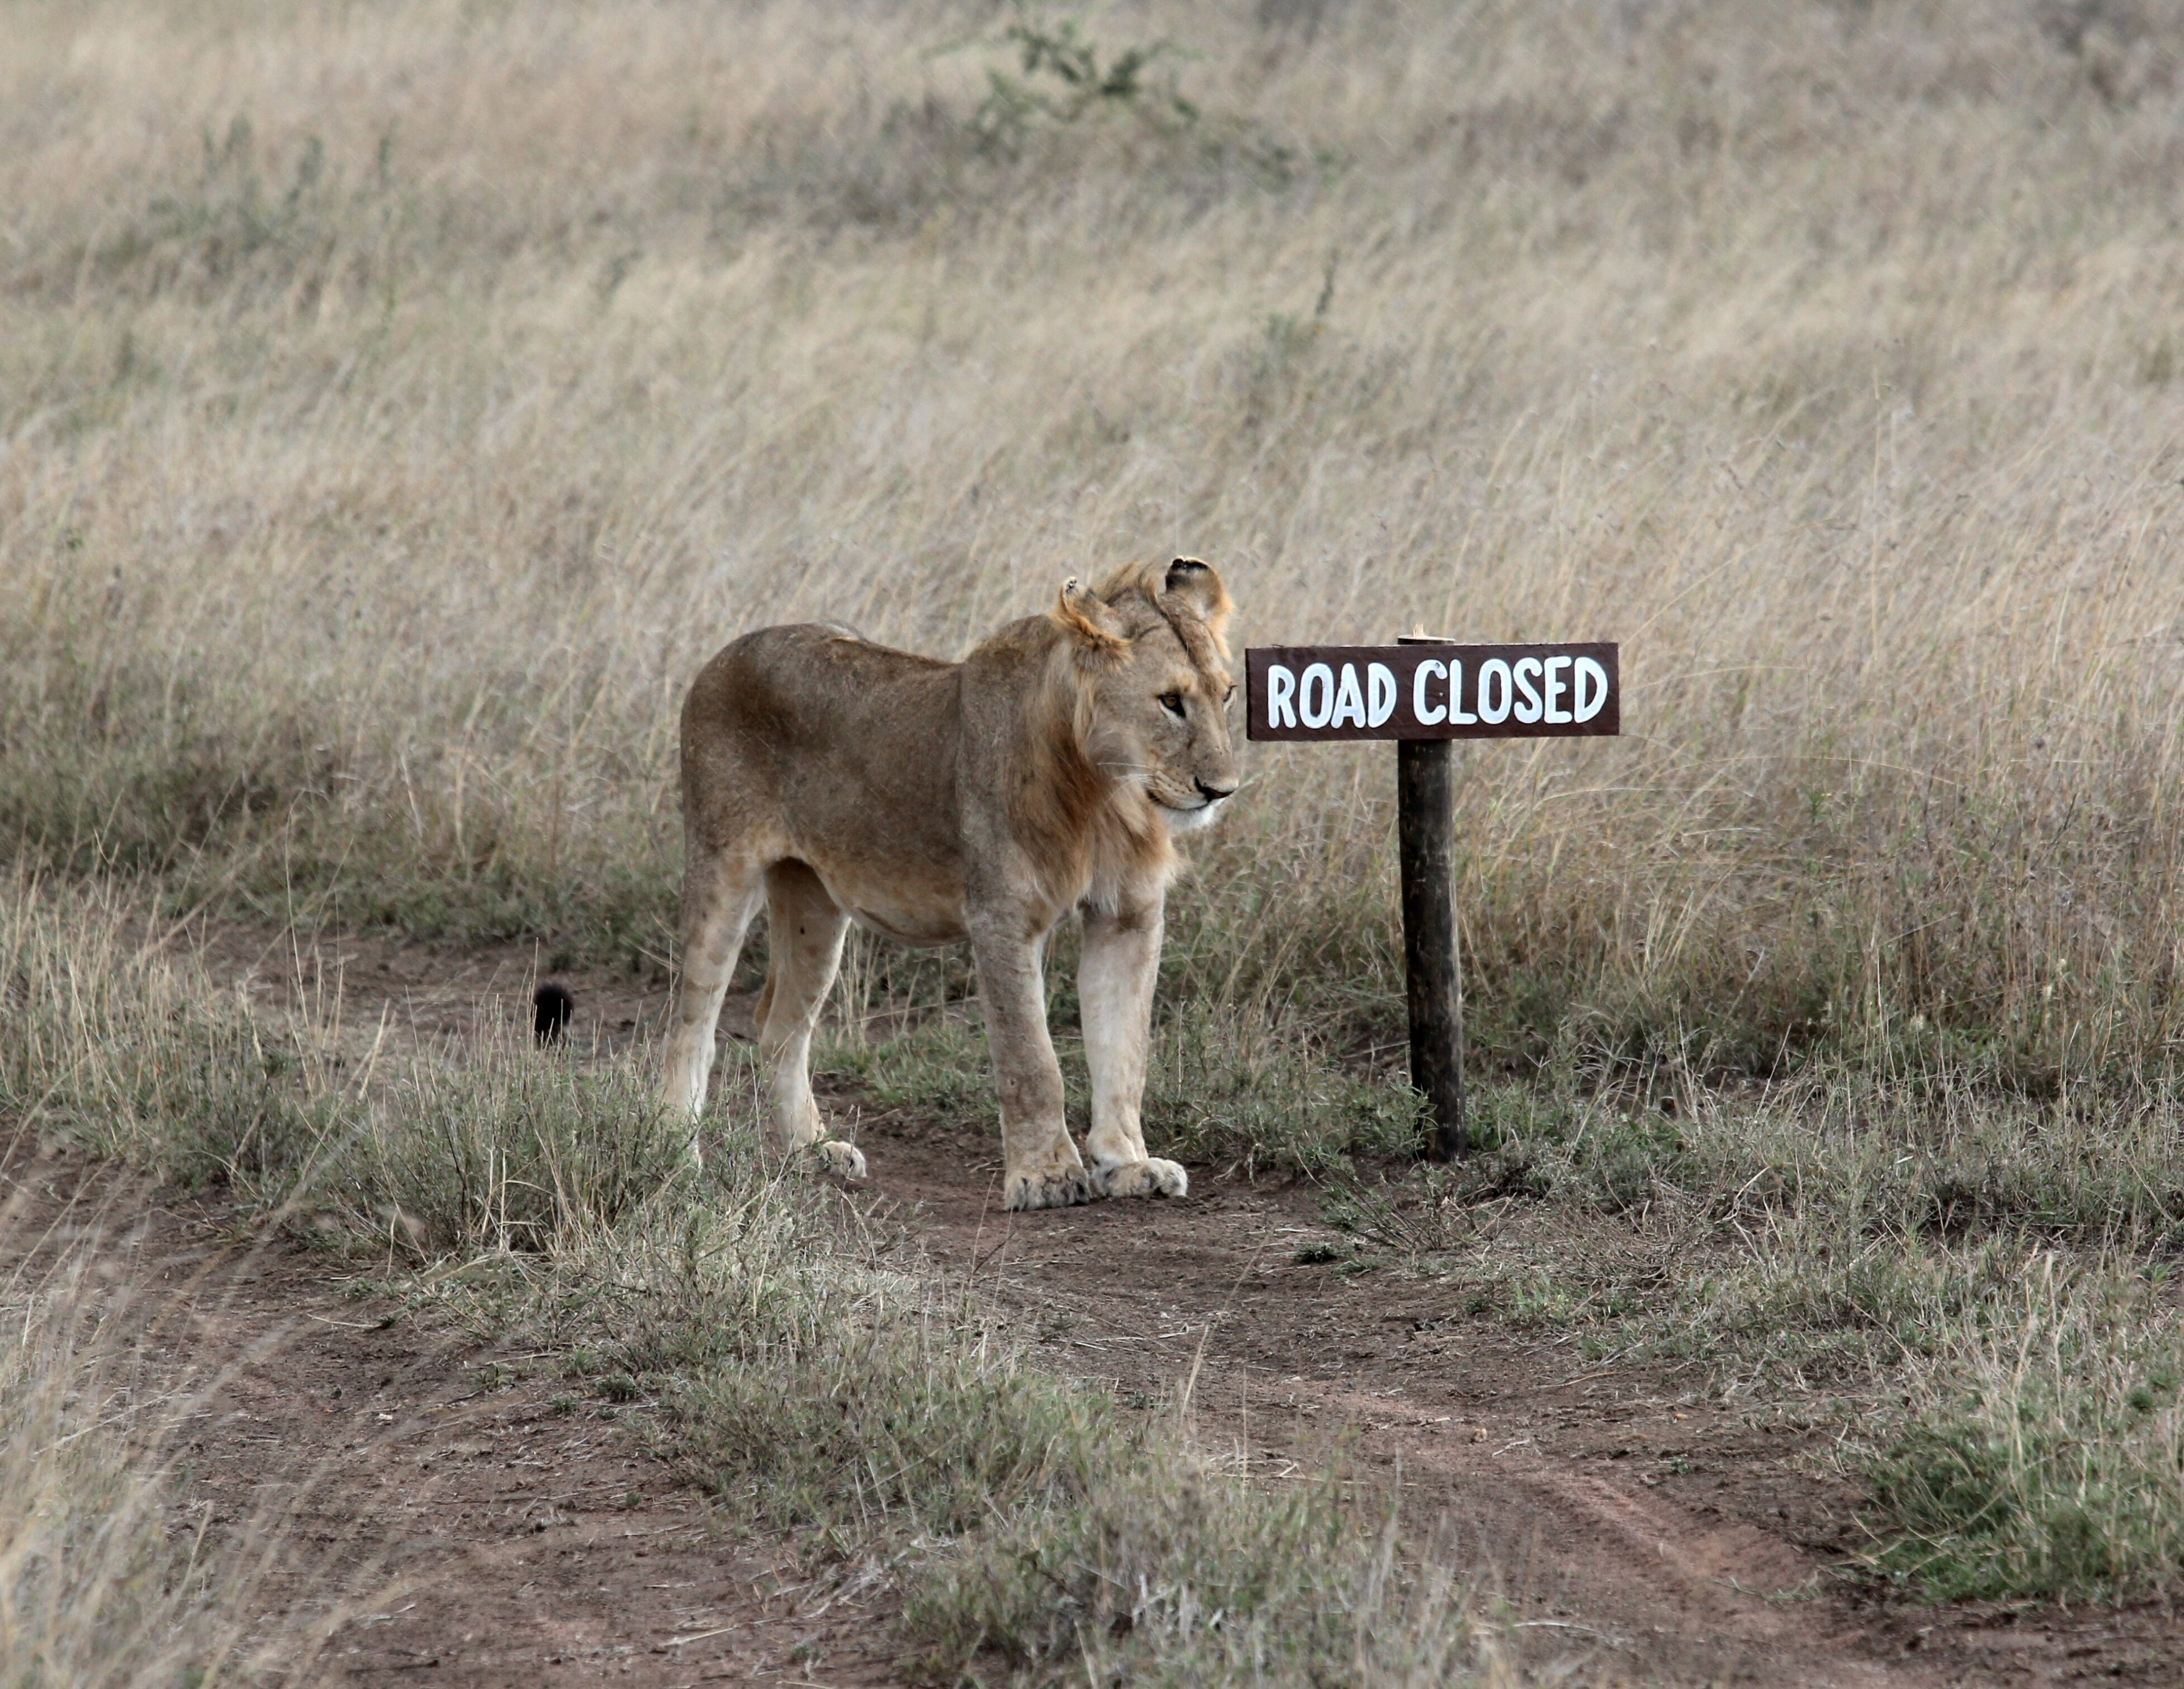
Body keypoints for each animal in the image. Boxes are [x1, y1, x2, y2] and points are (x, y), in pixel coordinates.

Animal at [658, 558, 1240, 1210]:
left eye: (1226, 694)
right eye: (1170, 701)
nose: (1222, 790)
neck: (1108, 792)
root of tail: (726, 653)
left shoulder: (1129, 915)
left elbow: (1124, 1051)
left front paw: (1130, 1165)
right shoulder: (1002, 916)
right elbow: (1032, 1059)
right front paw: (1046, 1176)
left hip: (815, 901)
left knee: (780, 1025)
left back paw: (812, 1151)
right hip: (722, 865)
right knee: (691, 1022)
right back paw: (677, 1155)